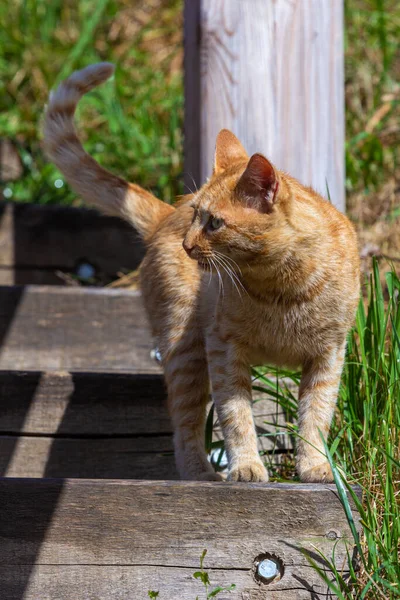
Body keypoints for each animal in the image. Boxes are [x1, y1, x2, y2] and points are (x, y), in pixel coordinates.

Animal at [43, 63, 360, 482]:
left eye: (214, 223)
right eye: (197, 216)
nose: (187, 244)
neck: (284, 289)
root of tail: (165, 217)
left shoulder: (328, 357)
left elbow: (315, 418)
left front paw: (315, 467)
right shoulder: (224, 350)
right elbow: (236, 416)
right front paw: (246, 467)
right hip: (186, 352)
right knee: (184, 427)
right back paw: (201, 474)